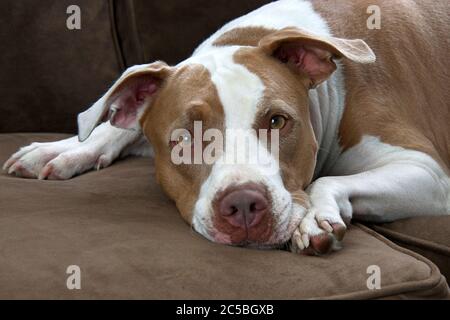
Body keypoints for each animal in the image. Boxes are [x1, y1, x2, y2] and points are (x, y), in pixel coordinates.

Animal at [1, 0, 448, 255]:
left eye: (277, 121)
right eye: (184, 139)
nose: (245, 204)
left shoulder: (429, 174)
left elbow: (326, 181)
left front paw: (313, 217)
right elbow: (118, 118)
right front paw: (65, 149)